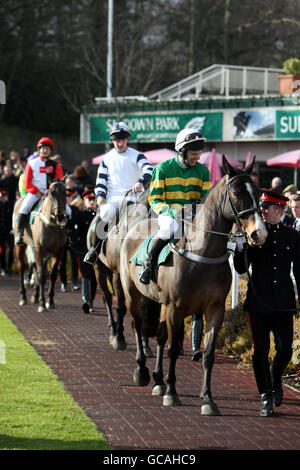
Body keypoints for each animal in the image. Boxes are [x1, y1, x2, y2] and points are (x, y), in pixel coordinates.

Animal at [13, 180, 67, 312]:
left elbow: (52, 275)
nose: (60, 215)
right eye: (51, 193)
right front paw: (42, 303)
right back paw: (23, 297)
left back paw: (35, 296)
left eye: (65, 193)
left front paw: (50, 301)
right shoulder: (39, 250)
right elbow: (42, 275)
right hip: (21, 246)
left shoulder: (58, 251)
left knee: (35, 268)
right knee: (22, 267)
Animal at [87, 185, 162, 354]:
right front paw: (119, 339)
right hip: (99, 268)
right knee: (107, 298)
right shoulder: (118, 274)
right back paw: (113, 330)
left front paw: (145, 344)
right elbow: (121, 307)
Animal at [119, 157, 268, 414]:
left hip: (161, 303)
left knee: (159, 335)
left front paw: (207, 399)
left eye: (257, 191)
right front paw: (172, 392)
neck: (202, 253)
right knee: (138, 326)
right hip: (132, 294)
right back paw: (142, 372)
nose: (259, 233)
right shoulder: (175, 307)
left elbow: (207, 353)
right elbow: (173, 348)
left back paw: (158, 381)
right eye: (237, 192)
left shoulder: (214, 309)